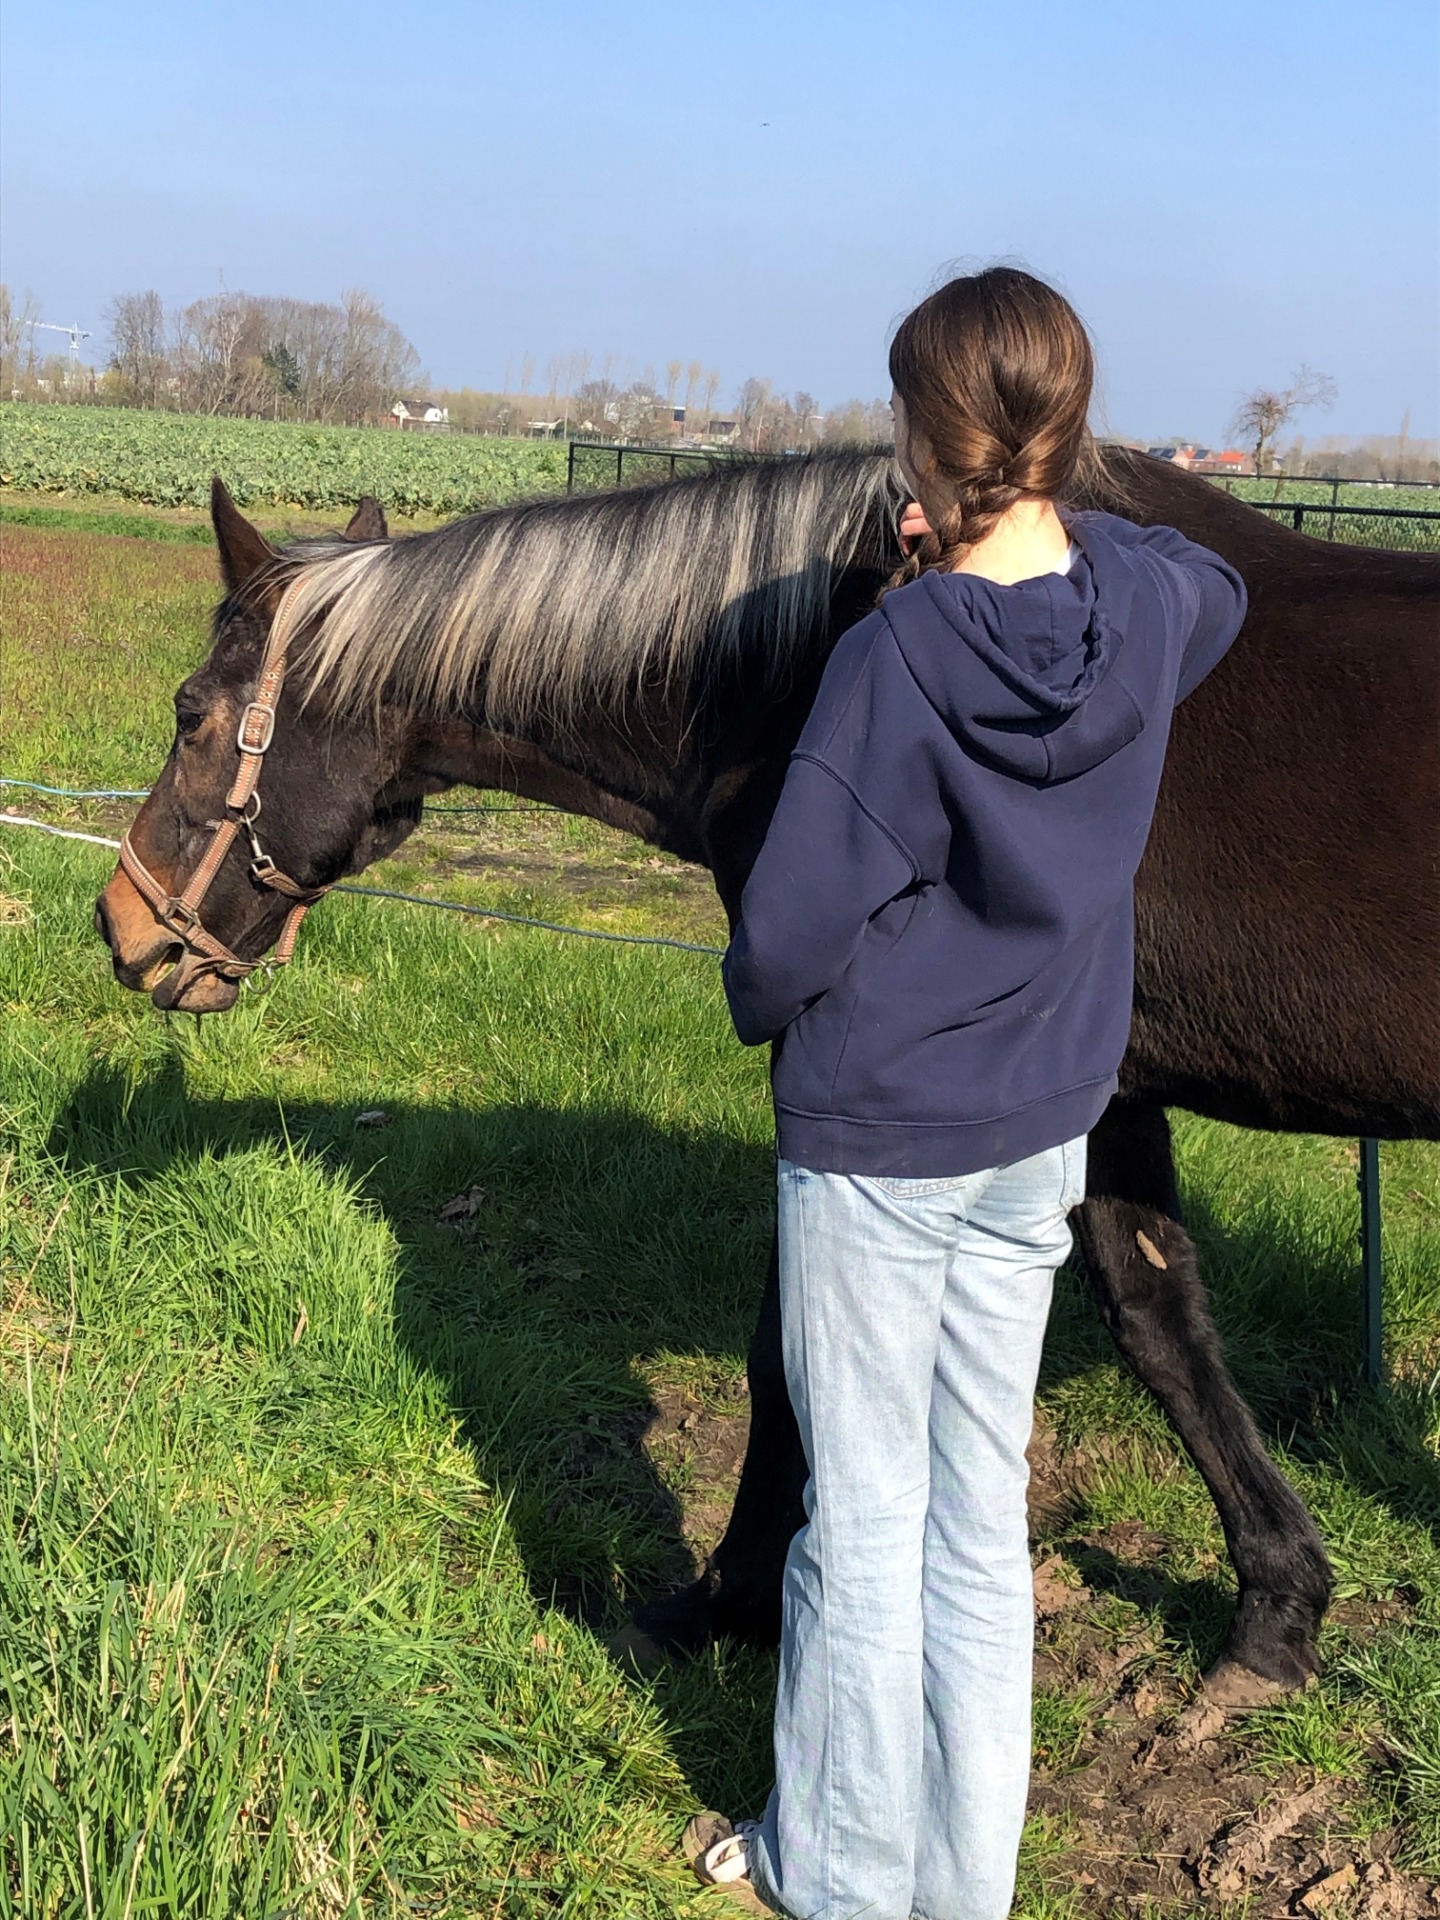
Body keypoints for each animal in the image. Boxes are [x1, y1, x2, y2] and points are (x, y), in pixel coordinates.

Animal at [94, 449, 1440, 1704]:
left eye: (191, 712)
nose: (124, 924)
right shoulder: (1093, 1087)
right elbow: (1163, 1321)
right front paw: (1276, 1608)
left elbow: (790, 1341)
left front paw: (725, 1598)